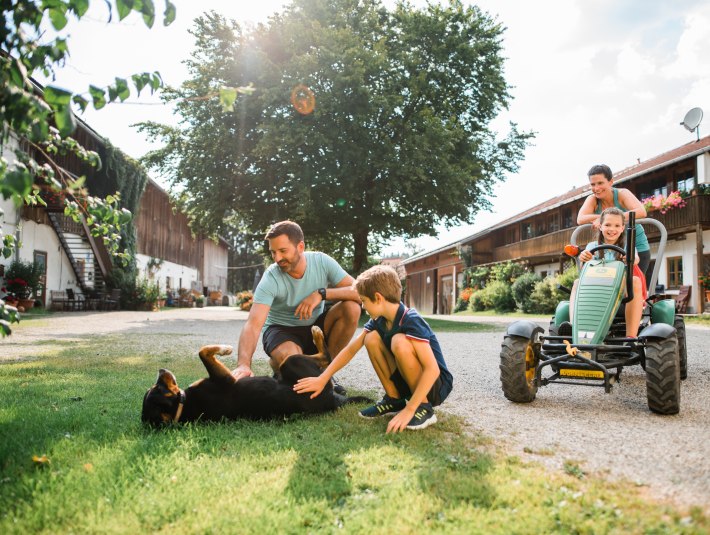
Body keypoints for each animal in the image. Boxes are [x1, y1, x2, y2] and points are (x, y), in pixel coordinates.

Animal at [142, 326, 364, 428]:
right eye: (158, 388)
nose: (161, 370)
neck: (183, 407)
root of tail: (331, 400)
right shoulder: (224, 380)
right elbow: (203, 351)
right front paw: (225, 349)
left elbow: (203, 352)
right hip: (292, 363)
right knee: (327, 358)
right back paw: (317, 333)